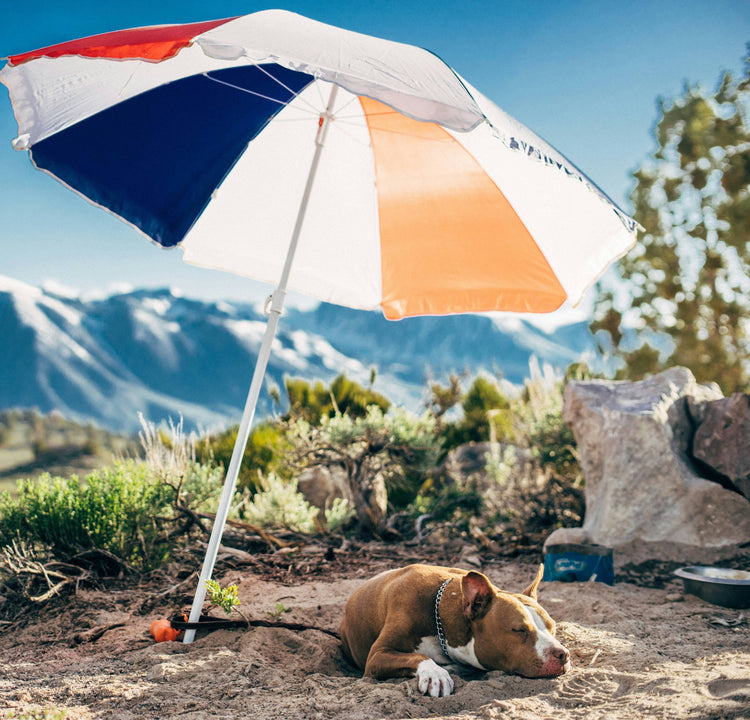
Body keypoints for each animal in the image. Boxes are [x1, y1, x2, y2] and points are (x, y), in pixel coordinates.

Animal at [340, 564, 568, 696]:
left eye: (553, 628)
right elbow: (417, 656)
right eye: (519, 630)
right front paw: (435, 673)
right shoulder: (376, 656)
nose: (563, 654)